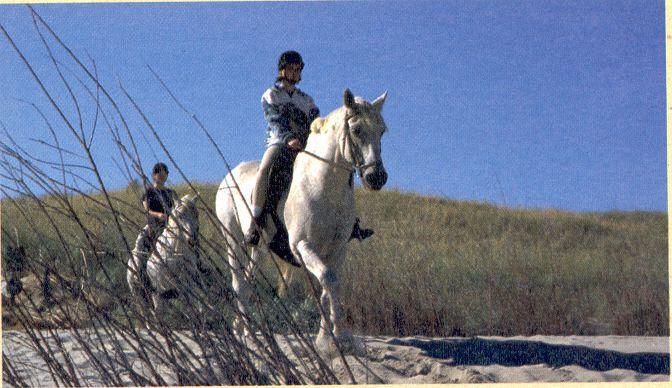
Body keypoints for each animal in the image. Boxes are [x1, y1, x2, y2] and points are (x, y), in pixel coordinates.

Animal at [213, 89, 386, 350]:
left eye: (382, 130)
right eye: (356, 130)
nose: (376, 177)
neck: (324, 185)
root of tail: (228, 176)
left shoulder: (337, 249)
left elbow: (329, 286)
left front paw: (328, 337)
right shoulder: (302, 245)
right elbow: (328, 279)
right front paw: (336, 337)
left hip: (261, 247)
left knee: (248, 278)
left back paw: (246, 331)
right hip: (232, 239)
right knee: (238, 282)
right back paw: (242, 332)